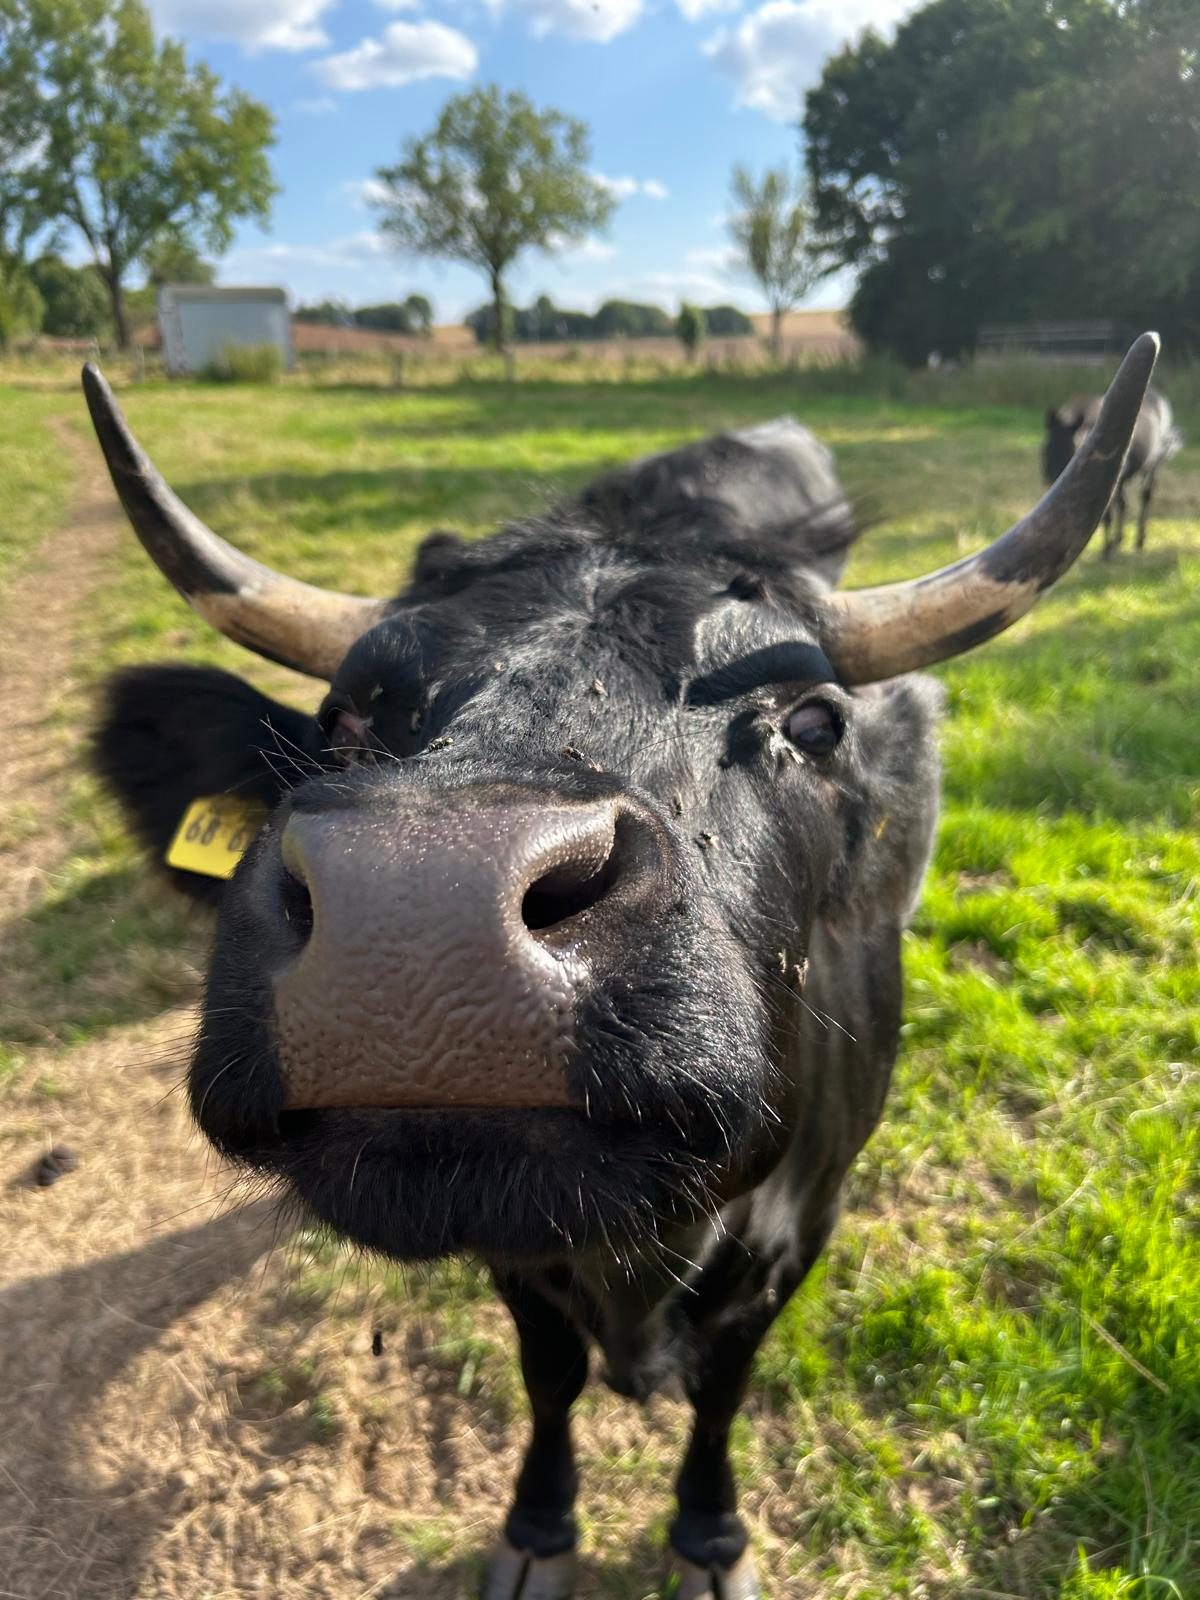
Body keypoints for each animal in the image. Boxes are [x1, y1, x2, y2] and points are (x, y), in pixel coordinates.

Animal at [85, 335, 1158, 1600]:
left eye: (814, 722)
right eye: (344, 715)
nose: (421, 906)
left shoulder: (799, 1234)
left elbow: (724, 1392)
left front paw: (708, 1535)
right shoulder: (517, 1250)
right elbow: (548, 1374)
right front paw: (540, 1527)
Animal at [1043, 384, 1181, 556]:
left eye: (1072, 449)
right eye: (1046, 449)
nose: (1054, 478)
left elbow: (1105, 517)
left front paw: (1107, 550)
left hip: (1153, 466)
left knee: (1145, 496)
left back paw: (1139, 541)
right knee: (1123, 503)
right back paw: (1119, 540)